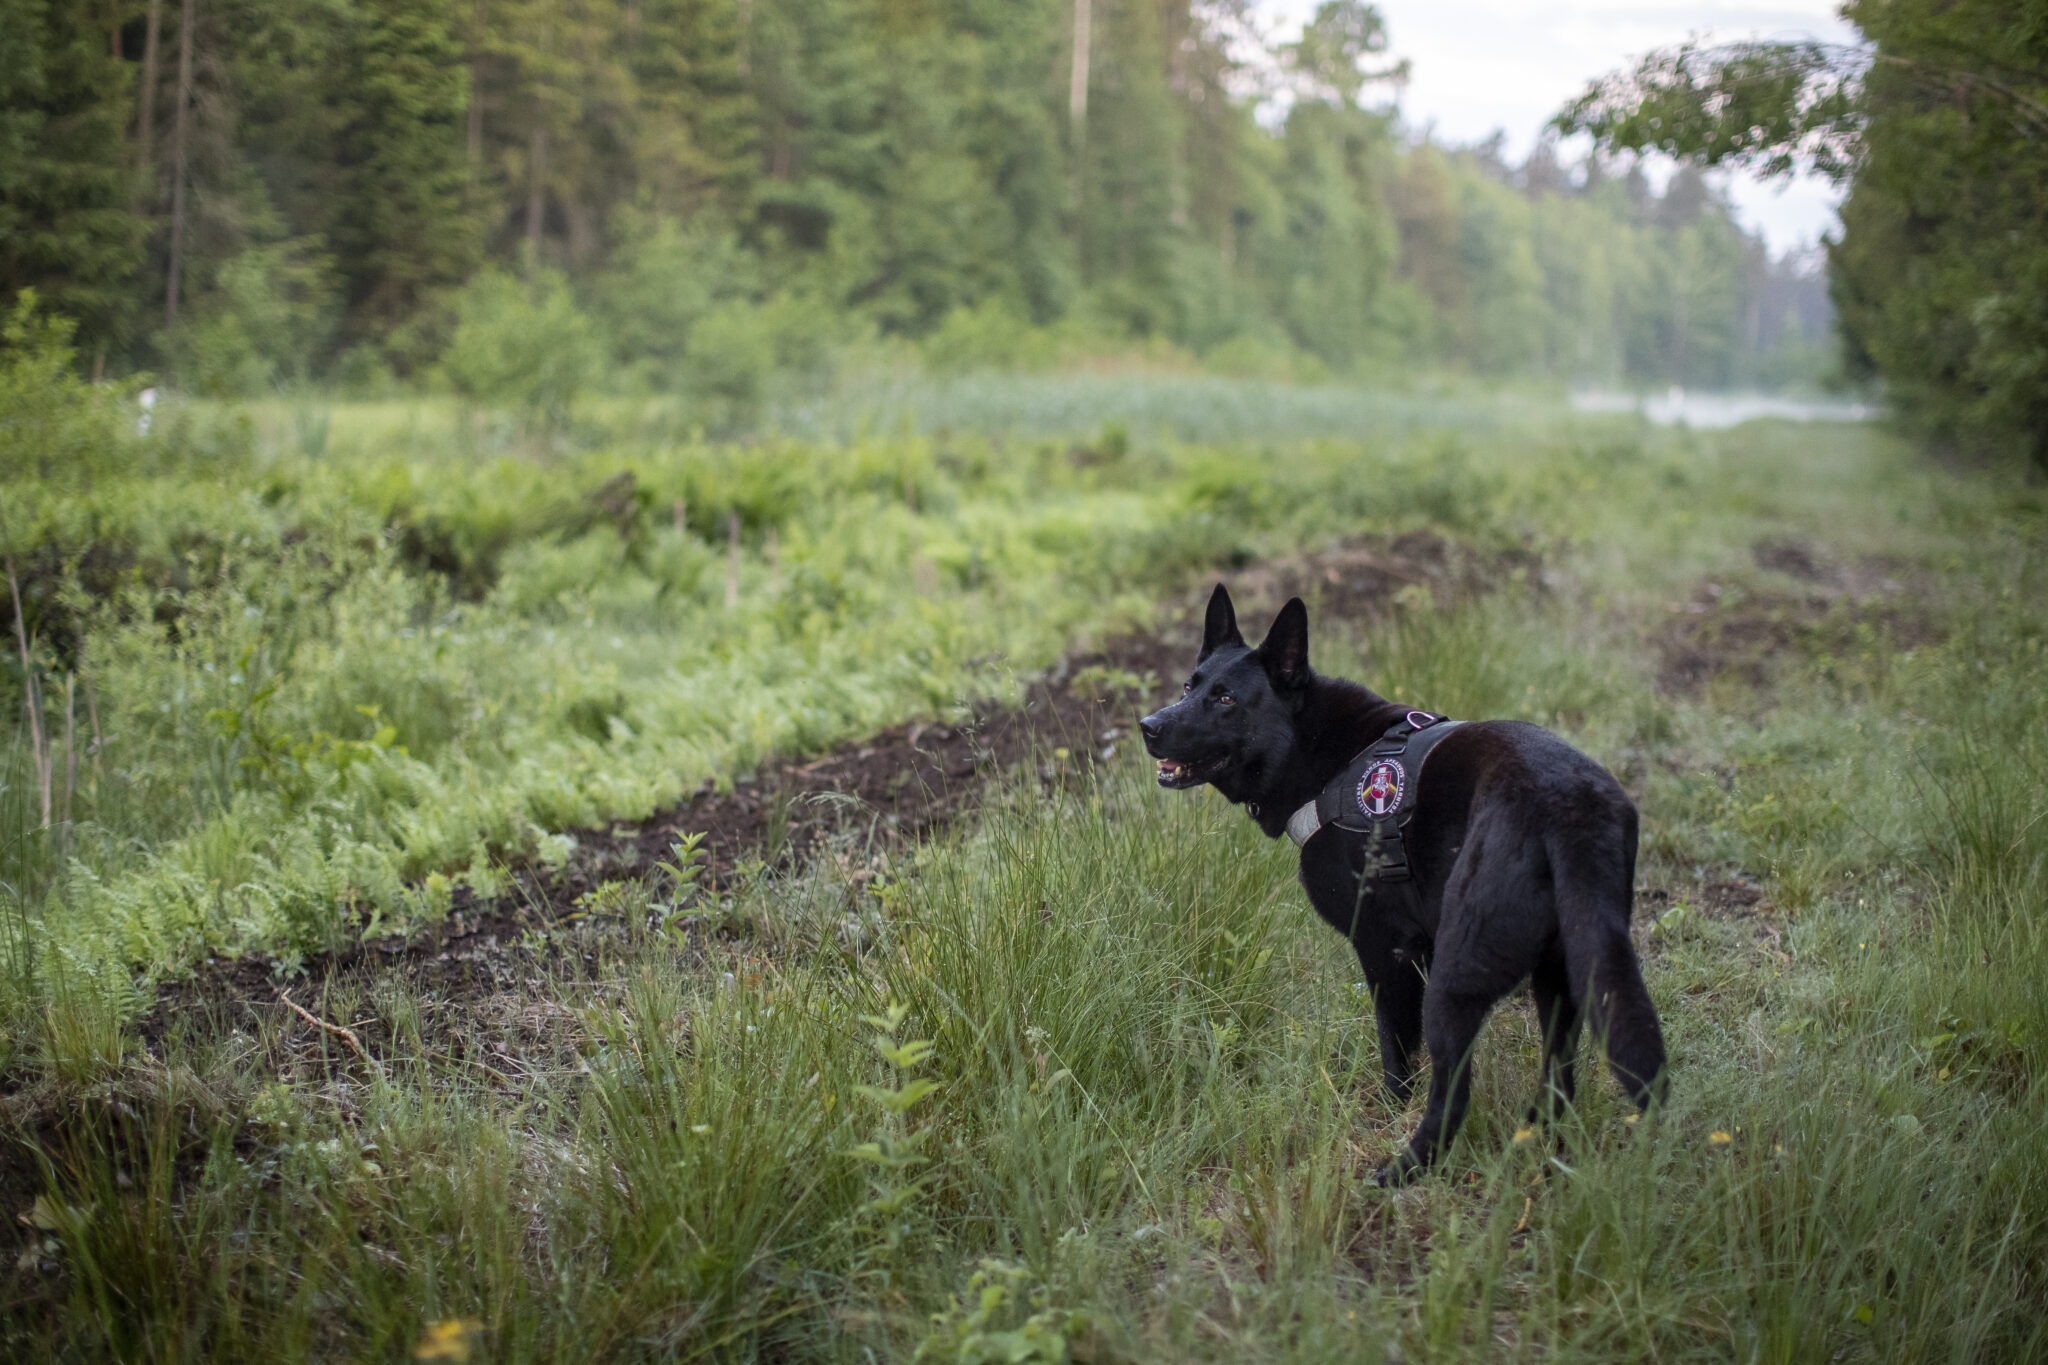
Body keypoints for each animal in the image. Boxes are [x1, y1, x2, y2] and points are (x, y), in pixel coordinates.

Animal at [1138, 589, 1662, 1186]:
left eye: (1224, 698)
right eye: (1189, 686)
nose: (1147, 725)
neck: (1320, 753)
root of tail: (1566, 809)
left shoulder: (1385, 948)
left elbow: (1395, 1048)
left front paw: (1386, 1111)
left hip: (1457, 979)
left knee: (1451, 1093)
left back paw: (1402, 1170)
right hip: (1566, 975)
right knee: (1558, 1080)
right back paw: (1544, 1152)